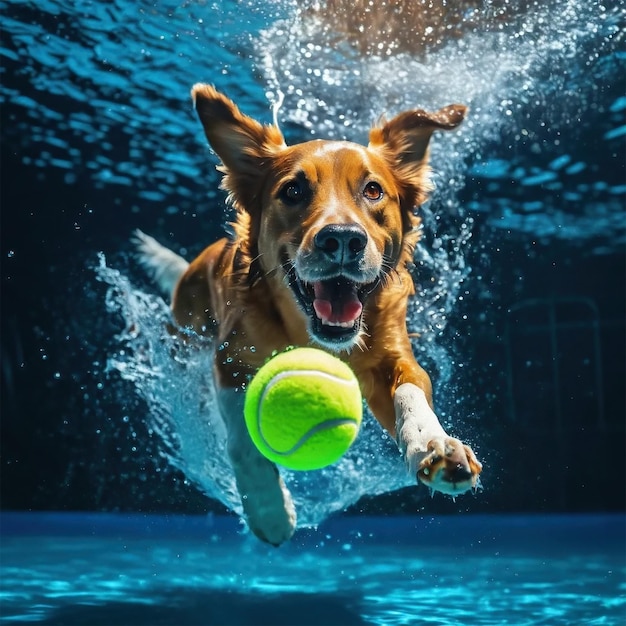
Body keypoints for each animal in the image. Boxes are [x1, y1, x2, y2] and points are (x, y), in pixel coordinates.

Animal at [134, 85, 480, 544]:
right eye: (293, 191)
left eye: (373, 190)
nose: (343, 240)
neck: (313, 334)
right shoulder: (232, 360)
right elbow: (244, 444)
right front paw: (269, 511)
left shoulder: (395, 356)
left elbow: (411, 392)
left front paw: (434, 445)